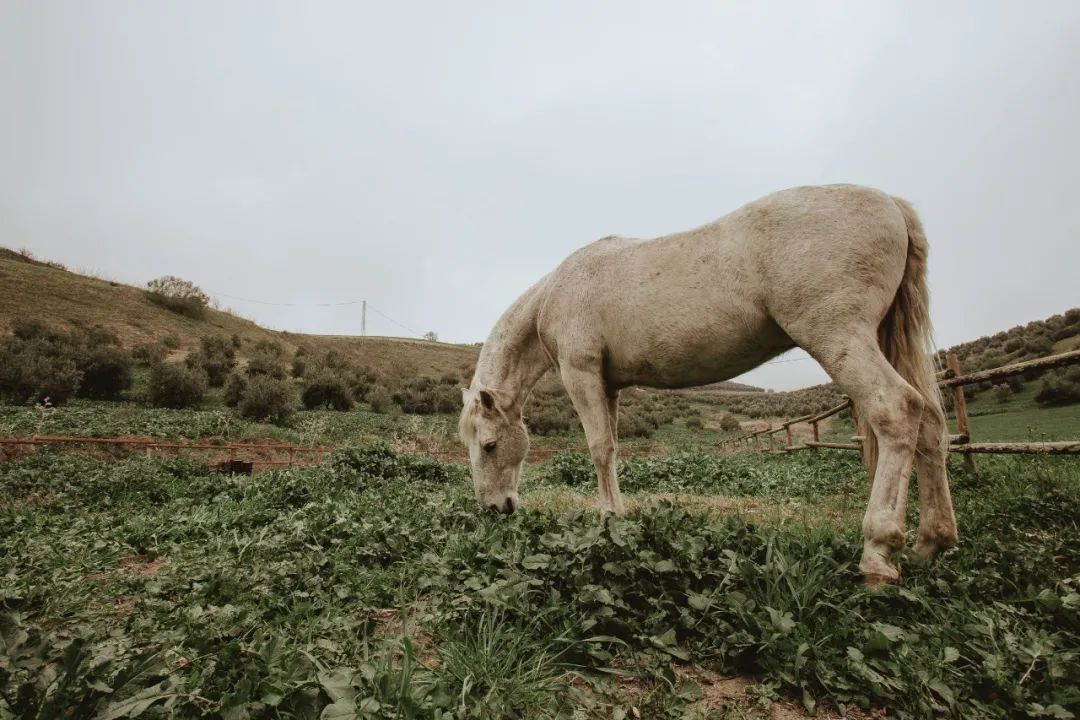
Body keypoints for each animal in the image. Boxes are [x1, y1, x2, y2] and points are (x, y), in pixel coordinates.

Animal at [460, 183, 959, 582]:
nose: (494, 509)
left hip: (840, 337)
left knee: (897, 410)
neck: (558, 293)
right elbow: (612, 447)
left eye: (489, 445)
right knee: (931, 426)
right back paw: (930, 543)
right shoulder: (609, 385)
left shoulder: (581, 373)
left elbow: (599, 448)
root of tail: (891, 204)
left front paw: (608, 519)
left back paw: (878, 552)